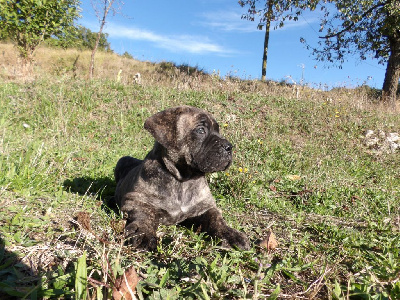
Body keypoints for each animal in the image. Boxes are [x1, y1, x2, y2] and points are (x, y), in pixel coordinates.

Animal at [113, 105, 250, 251]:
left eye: (218, 130)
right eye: (201, 130)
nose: (229, 147)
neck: (183, 180)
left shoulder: (205, 207)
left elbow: (216, 219)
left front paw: (230, 234)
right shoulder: (134, 199)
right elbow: (144, 215)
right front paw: (143, 233)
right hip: (122, 160)